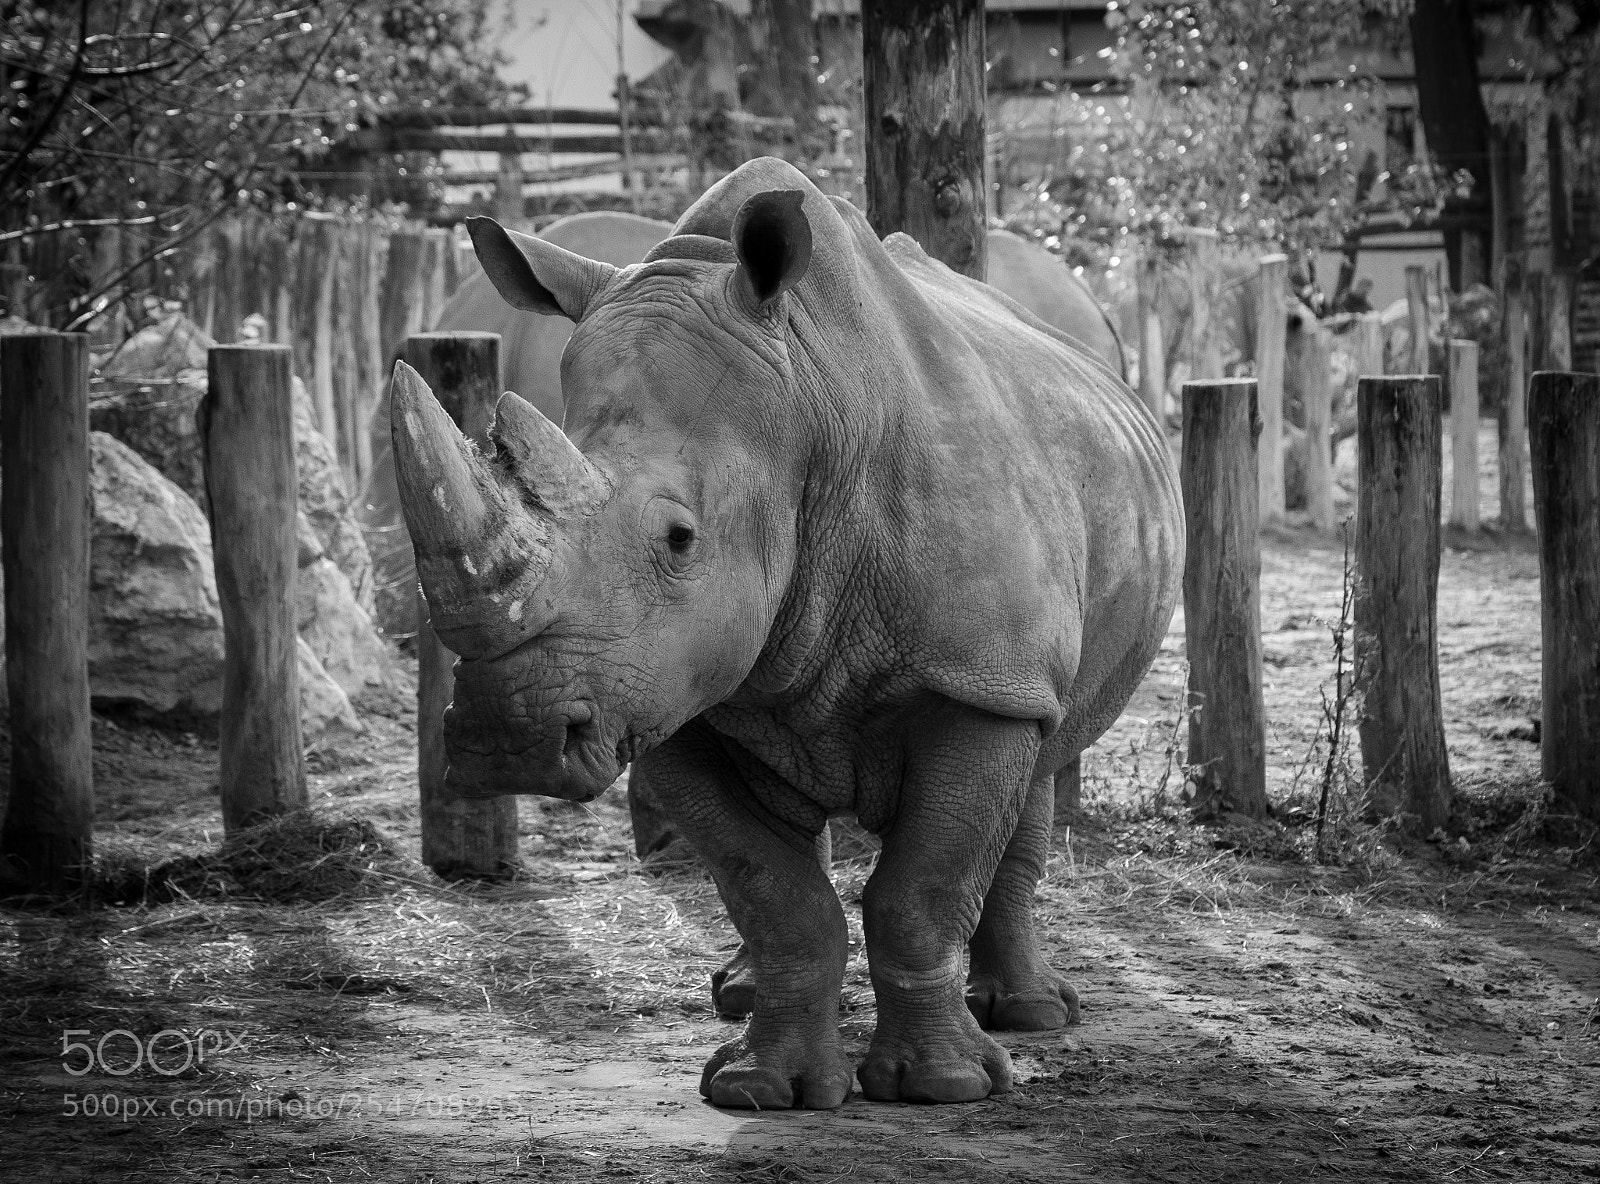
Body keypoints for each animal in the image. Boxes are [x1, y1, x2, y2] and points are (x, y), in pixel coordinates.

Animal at [391, 157, 1183, 1109]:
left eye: (679, 539)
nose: (509, 739)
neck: (811, 403)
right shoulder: (667, 690)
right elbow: (774, 894)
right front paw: (761, 1089)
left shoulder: (983, 675)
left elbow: (923, 890)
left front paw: (942, 1085)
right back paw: (739, 995)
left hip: (1029, 640)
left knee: (1043, 755)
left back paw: (1032, 1014)